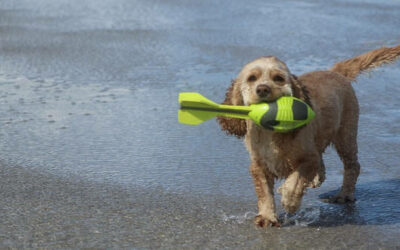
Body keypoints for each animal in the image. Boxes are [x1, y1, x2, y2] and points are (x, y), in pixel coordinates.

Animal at [219, 44, 400, 227]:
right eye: (252, 78)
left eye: (278, 78)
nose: (262, 89)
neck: (271, 131)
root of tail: (335, 72)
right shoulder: (259, 165)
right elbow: (264, 193)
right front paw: (267, 217)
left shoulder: (308, 158)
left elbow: (296, 181)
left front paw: (289, 200)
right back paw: (317, 180)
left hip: (346, 136)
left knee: (353, 166)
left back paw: (344, 195)